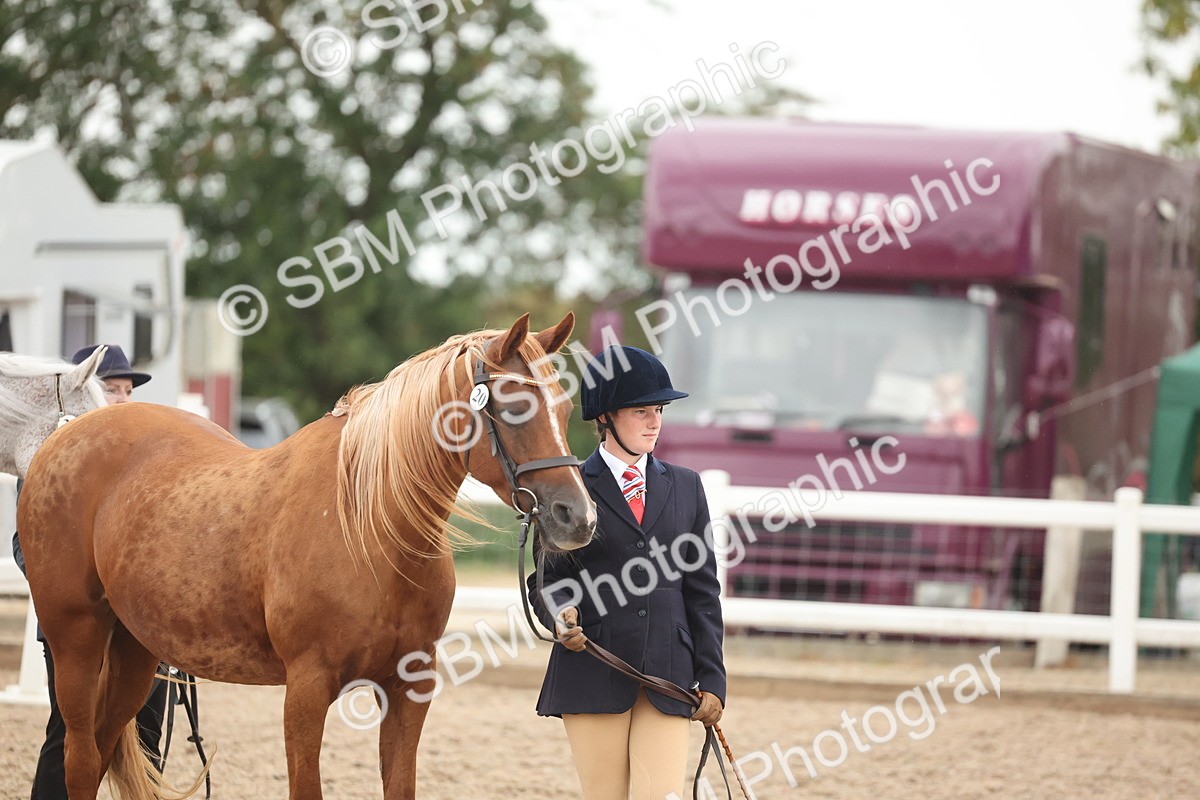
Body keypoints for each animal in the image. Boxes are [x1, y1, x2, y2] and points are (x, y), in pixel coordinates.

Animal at [17, 313, 597, 800]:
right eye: (515, 406)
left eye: (566, 408)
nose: (578, 517)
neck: (368, 527)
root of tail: (61, 439)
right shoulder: (306, 690)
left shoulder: (410, 688)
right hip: (76, 641)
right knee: (79, 760)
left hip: (136, 652)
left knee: (101, 749)